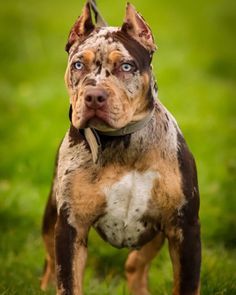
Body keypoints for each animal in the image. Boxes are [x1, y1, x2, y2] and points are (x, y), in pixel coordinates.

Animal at [40, 1, 201, 294]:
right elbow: (67, 282)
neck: (124, 143)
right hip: (51, 219)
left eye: (126, 66)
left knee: (136, 264)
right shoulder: (70, 228)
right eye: (78, 64)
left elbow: (187, 283)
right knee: (48, 262)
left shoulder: (184, 228)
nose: (94, 96)